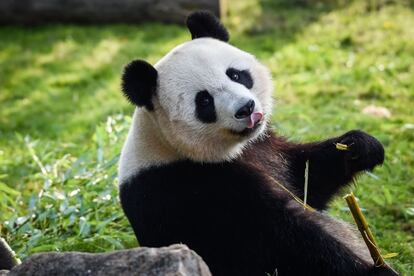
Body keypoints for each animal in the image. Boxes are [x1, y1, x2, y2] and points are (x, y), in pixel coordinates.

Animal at [118, 10, 396, 276]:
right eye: (204, 101)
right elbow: (285, 242)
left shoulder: (263, 145)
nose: (246, 108)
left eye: (236, 74)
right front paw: (375, 269)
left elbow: (306, 177)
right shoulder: (194, 190)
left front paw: (360, 146)